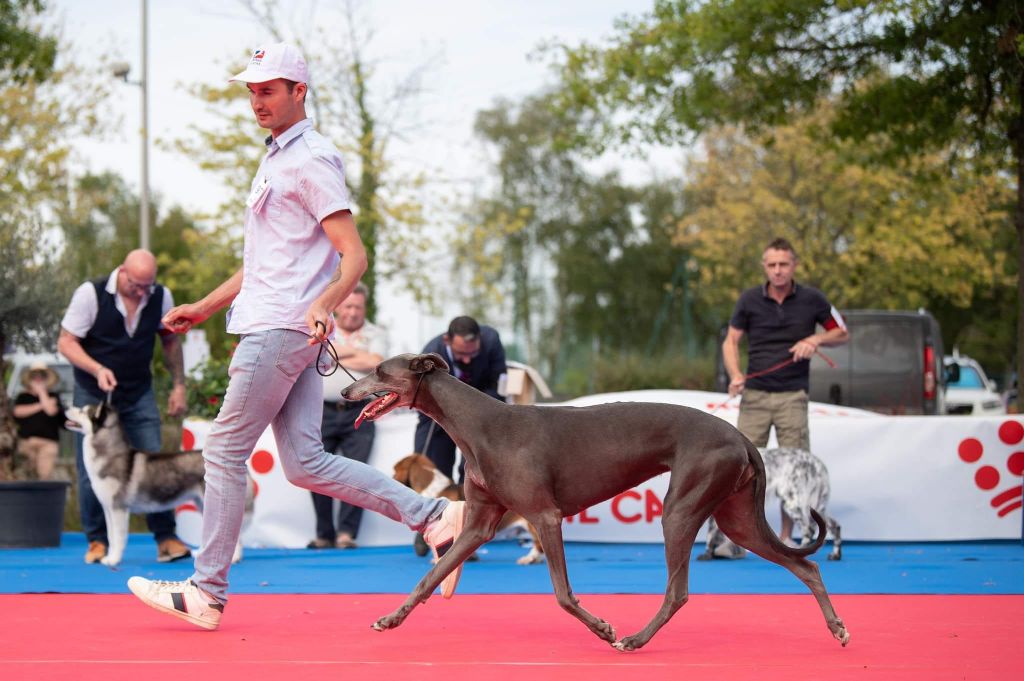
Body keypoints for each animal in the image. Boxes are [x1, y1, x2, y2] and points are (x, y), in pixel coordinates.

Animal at [67, 401, 252, 565]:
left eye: (83, 411)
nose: (67, 407)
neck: (110, 455)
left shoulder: (119, 508)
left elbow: (118, 538)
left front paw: (113, 560)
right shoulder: (108, 508)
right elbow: (111, 537)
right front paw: (109, 557)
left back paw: (234, 558)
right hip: (203, 503)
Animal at [700, 444, 843, 561]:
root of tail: (817, 464)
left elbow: (710, 533)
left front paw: (707, 554)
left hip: (793, 501)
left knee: (808, 529)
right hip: (814, 505)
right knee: (833, 525)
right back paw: (835, 555)